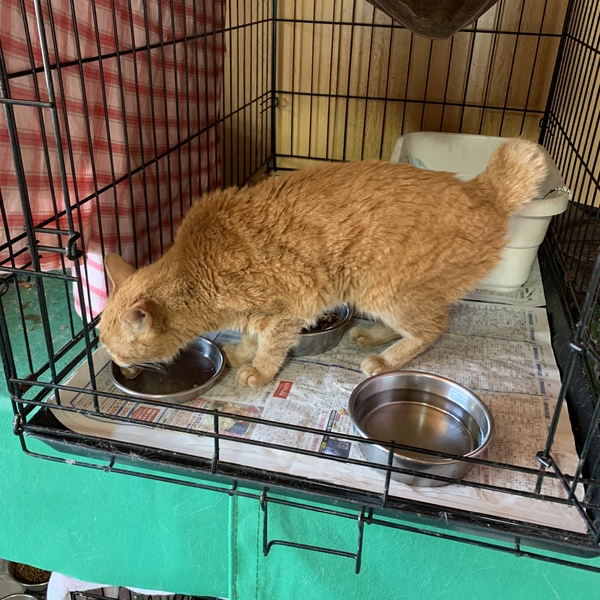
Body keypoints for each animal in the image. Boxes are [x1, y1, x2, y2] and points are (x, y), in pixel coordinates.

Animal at [98, 139, 548, 388]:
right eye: (101, 343)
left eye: (112, 347)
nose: (115, 363)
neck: (198, 271)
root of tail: (481, 191)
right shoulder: (256, 312)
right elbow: (249, 335)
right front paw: (243, 352)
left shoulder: (283, 311)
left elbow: (271, 346)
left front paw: (259, 370)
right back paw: (375, 336)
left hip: (383, 289)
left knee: (433, 327)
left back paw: (385, 360)